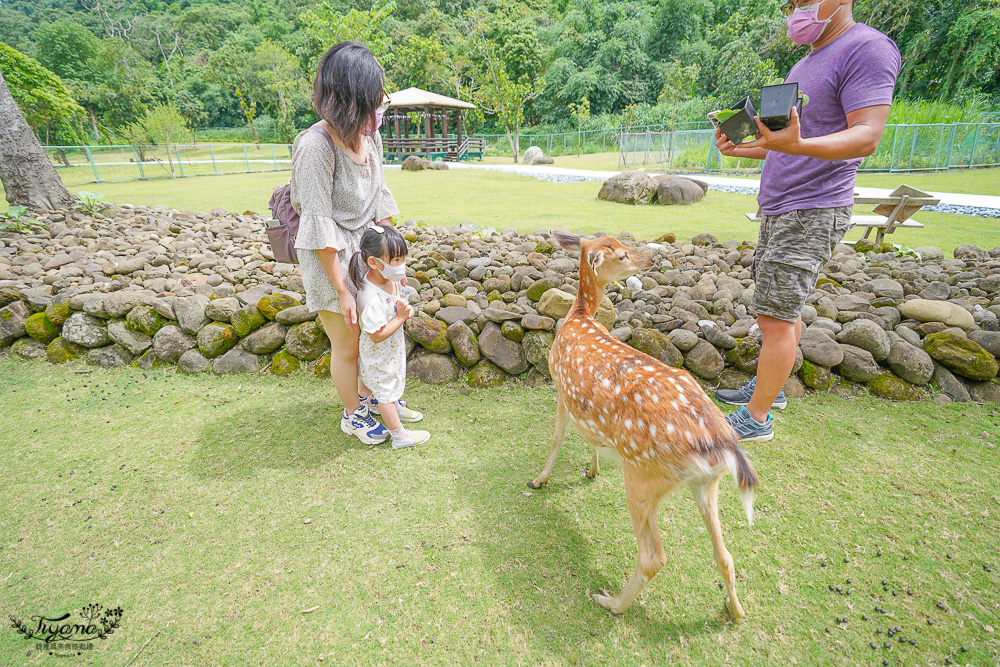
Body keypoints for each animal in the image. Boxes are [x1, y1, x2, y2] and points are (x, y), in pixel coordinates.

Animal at [532, 231, 756, 620]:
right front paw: (590, 470)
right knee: (725, 555)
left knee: (654, 556)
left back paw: (611, 602)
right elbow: (589, 437)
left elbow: (558, 436)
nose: (651, 260)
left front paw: (540, 479)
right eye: (621, 254)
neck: (578, 316)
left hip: (642, 474)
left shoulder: (559, 384)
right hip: (707, 485)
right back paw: (735, 610)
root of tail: (721, 445)